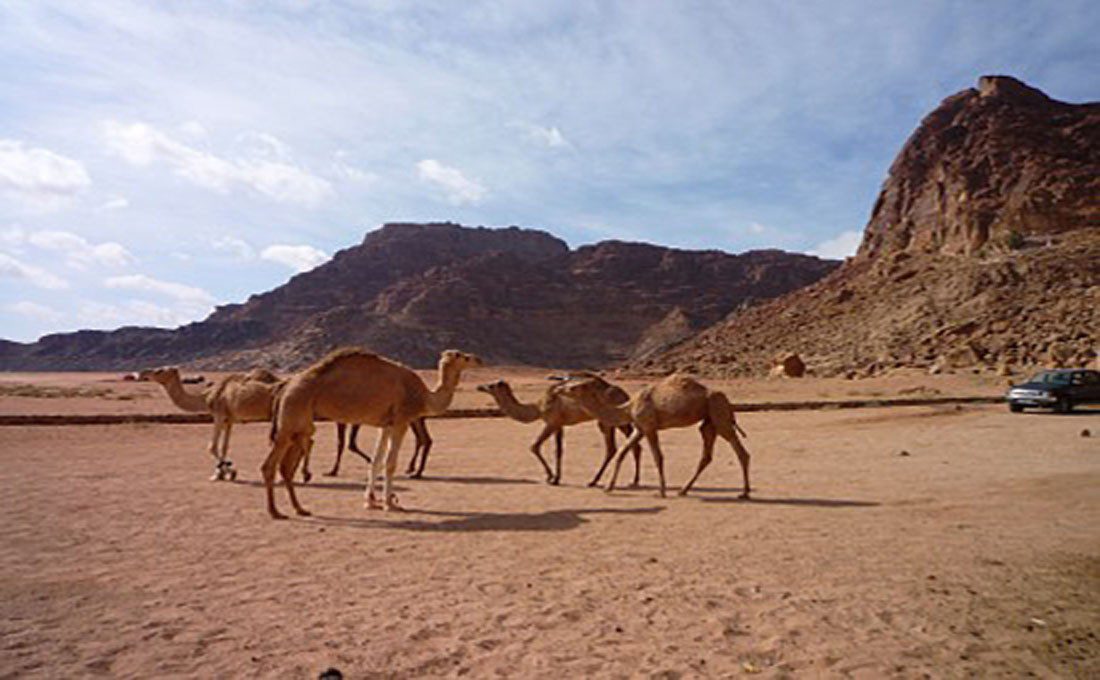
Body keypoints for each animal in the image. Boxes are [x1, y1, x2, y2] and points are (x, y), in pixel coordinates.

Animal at [264, 347, 484, 517]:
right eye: (462, 356)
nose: (479, 359)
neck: (423, 396)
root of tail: (285, 386)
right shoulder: (401, 421)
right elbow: (390, 463)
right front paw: (389, 503)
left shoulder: (385, 424)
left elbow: (376, 461)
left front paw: (371, 501)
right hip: (292, 416)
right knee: (270, 465)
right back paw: (276, 512)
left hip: (299, 424)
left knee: (285, 467)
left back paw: (300, 509)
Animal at [475, 376, 642, 486]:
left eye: (491, 385)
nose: (479, 387)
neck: (538, 407)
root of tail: (625, 394)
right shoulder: (559, 425)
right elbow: (559, 450)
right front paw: (556, 478)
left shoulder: (551, 422)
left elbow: (534, 446)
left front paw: (550, 477)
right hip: (617, 420)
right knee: (632, 445)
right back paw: (633, 481)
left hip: (609, 420)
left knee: (613, 448)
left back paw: (594, 481)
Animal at [554, 369, 752, 497]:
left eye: (573, 387)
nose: (557, 389)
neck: (628, 407)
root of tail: (727, 400)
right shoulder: (640, 428)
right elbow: (622, 453)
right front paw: (608, 487)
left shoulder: (649, 427)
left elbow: (658, 456)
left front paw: (661, 491)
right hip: (708, 420)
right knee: (707, 454)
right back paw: (684, 490)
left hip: (719, 412)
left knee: (740, 451)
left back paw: (744, 492)